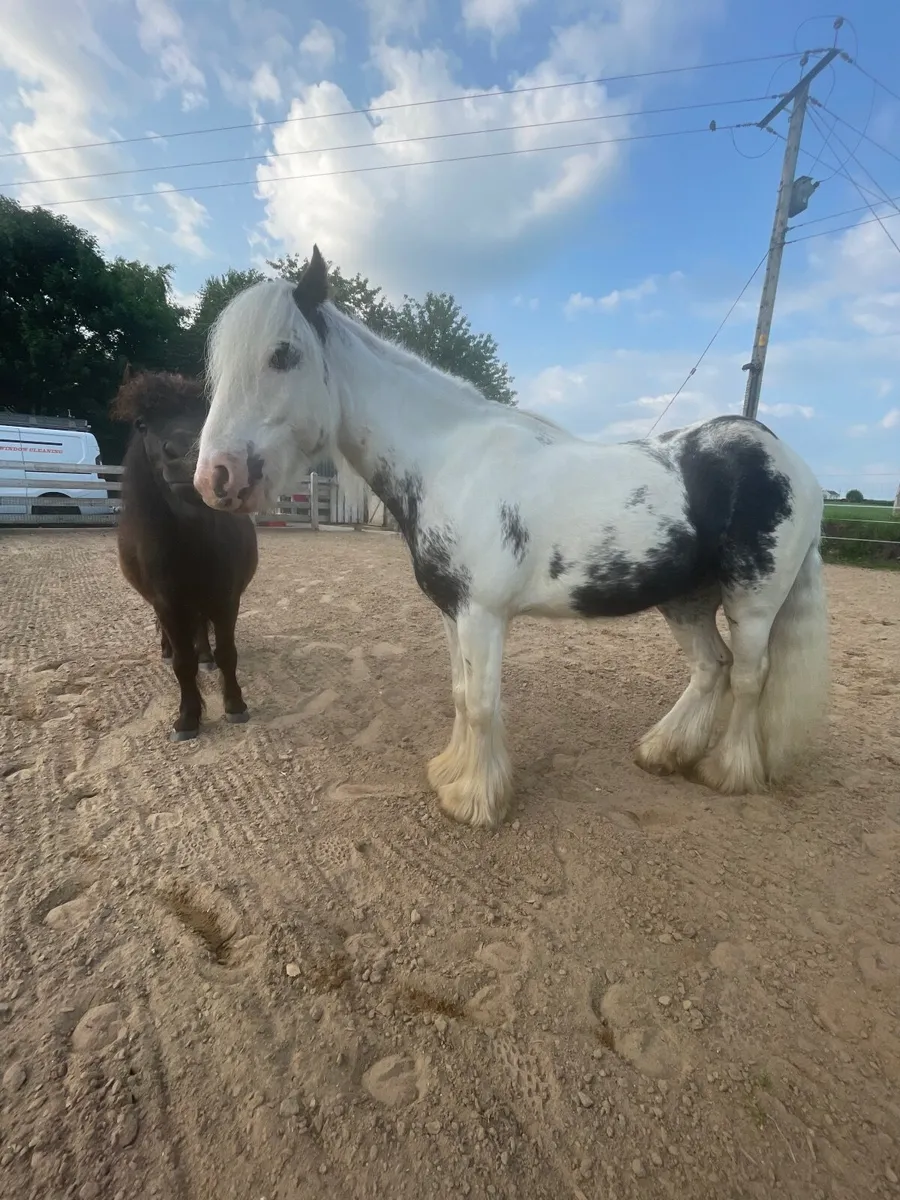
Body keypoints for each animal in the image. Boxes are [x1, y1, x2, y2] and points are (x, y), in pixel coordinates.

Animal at [113, 367, 258, 742]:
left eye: (206, 417)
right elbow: (182, 664)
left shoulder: (226, 598)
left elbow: (227, 653)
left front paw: (235, 706)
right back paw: (167, 650)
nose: (188, 455)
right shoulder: (168, 603)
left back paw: (204, 656)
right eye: (142, 423)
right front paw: (188, 718)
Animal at [192, 247, 829, 829]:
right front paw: (450, 773)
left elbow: (481, 703)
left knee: (747, 677)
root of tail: (790, 460)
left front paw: (476, 801)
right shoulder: (452, 612)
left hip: (752, 605)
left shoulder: (483, 614)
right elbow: (458, 692)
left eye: (282, 354)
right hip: (685, 600)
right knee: (709, 668)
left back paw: (729, 773)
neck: (448, 460)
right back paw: (663, 752)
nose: (213, 477)